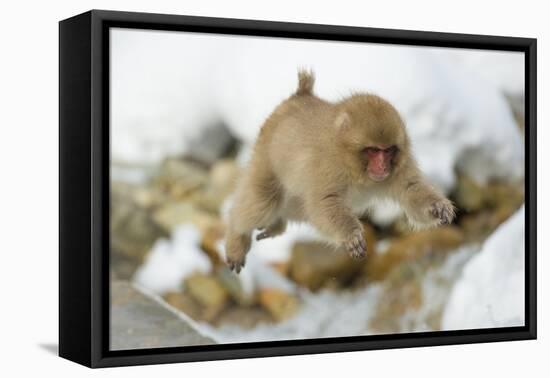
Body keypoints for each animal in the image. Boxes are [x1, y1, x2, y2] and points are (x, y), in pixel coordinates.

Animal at [224, 69, 458, 274]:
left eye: (388, 150)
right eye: (373, 150)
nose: (383, 167)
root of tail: (299, 96)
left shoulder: (401, 164)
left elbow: (411, 190)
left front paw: (438, 207)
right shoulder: (328, 167)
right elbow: (326, 203)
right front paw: (352, 236)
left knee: (295, 208)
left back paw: (275, 225)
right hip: (266, 158)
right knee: (263, 202)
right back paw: (237, 237)